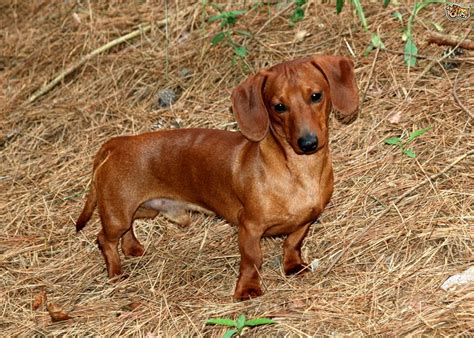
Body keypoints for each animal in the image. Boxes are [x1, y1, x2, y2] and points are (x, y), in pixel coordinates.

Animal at [77, 55, 360, 302]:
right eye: (279, 107)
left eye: (316, 96)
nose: (308, 143)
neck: (299, 171)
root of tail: (117, 143)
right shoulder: (249, 227)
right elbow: (252, 260)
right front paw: (247, 289)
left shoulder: (307, 219)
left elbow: (292, 243)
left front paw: (292, 266)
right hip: (118, 213)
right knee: (104, 239)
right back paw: (116, 272)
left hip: (142, 211)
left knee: (127, 231)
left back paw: (133, 248)